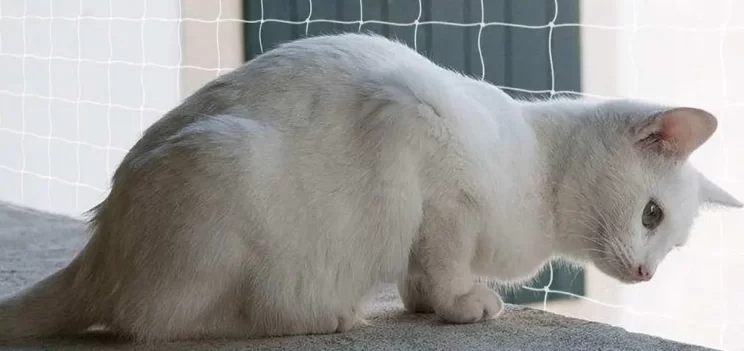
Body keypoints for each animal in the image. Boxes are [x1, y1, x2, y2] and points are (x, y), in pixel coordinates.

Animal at [0, 32, 740, 340]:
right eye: (651, 215)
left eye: (673, 245)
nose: (646, 273)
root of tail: (99, 249)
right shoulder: (419, 139)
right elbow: (444, 260)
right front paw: (463, 304)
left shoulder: (427, 216)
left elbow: (420, 272)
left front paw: (427, 303)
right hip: (223, 161)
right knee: (159, 322)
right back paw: (320, 315)